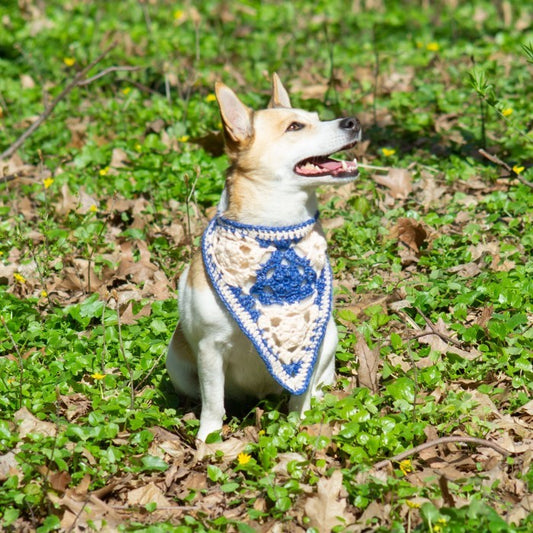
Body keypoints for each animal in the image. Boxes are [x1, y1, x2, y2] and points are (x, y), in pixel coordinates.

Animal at [166, 75, 362, 440]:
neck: (275, 232)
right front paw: (208, 440)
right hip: (177, 363)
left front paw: (299, 427)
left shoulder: (310, 345)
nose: (353, 121)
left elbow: (300, 398)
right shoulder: (210, 350)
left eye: (317, 117)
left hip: (329, 338)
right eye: (295, 126)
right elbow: (212, 404)